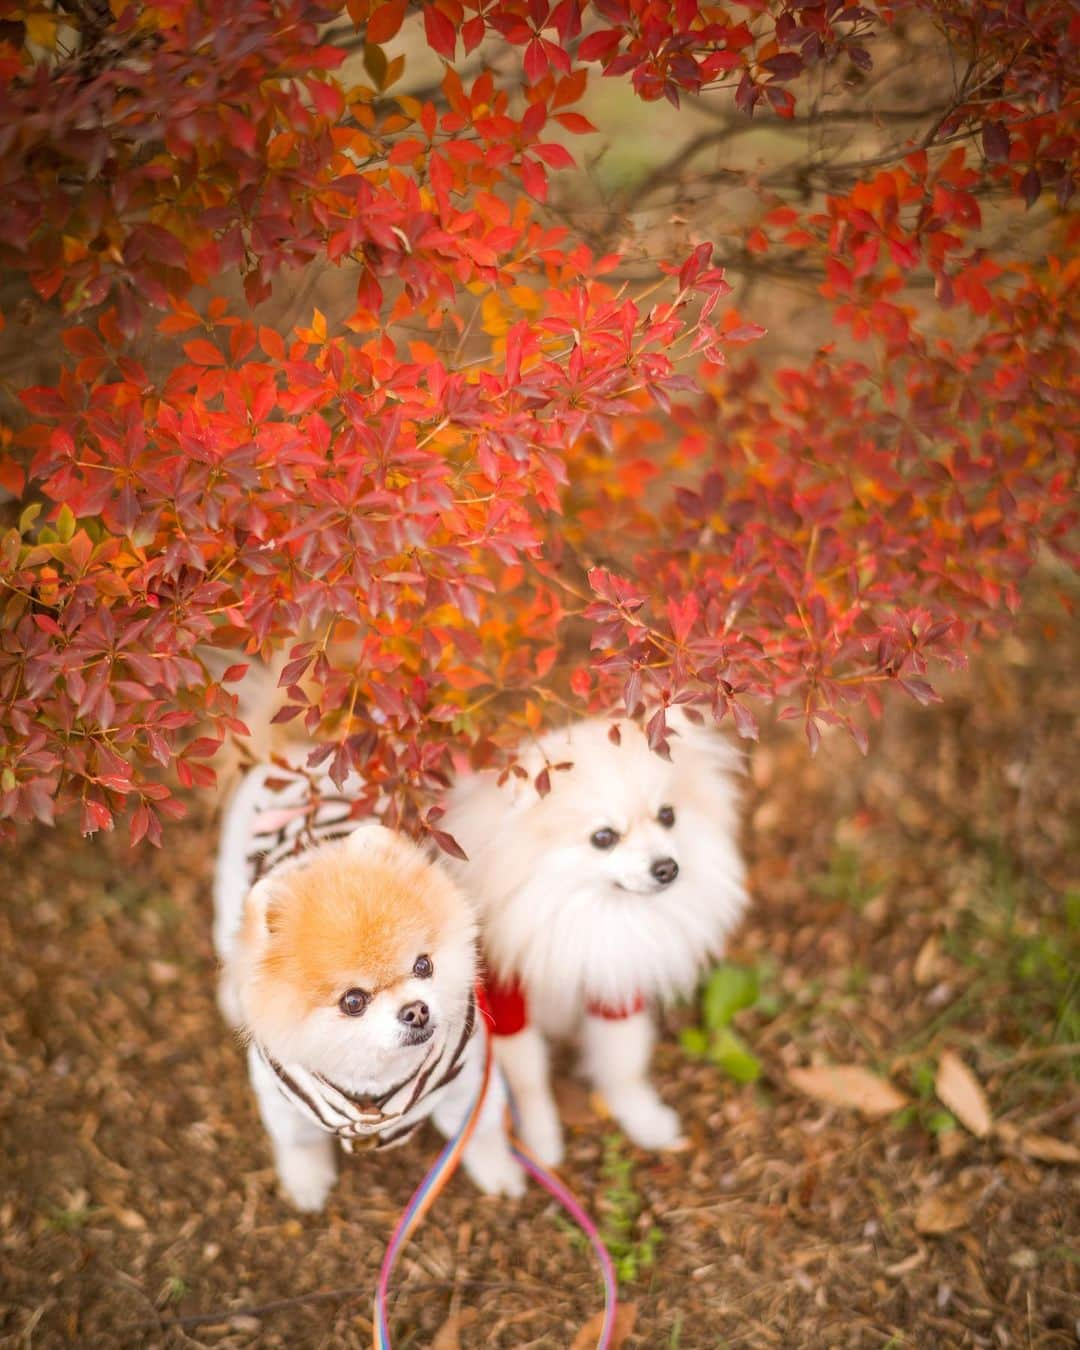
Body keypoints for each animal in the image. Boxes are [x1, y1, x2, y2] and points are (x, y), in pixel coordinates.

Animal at [213, 761, 526, 1215]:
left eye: (423, 965)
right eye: (354, 1001)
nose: (416, 1010)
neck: (379, 1078)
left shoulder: (467, 1084)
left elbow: (479, 1131)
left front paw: (498, 1171)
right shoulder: (284, 1099)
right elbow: (299, 1143)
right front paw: (307, 1182)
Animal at [442, 712, 745, 1166]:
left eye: (667, 815)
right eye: (604, 838)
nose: (666, 868)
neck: (590, 911)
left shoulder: (615, 979)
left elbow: (623, 1061)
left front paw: (643, 1119)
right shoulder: (505, 999)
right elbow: (529, 1078)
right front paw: (541, 1138)